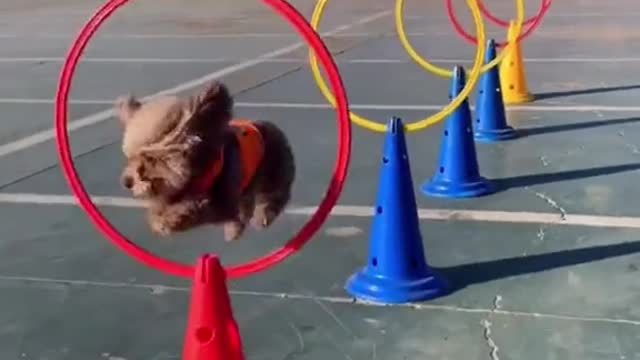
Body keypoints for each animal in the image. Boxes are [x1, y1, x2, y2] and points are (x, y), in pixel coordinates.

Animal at [115, 81, 296, 242]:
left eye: (150, 158)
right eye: (130, 157)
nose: (127, 182)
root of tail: (274, 127)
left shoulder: (220, 201)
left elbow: (195, 208)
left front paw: (167, 220)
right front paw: (157, 218)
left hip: (275, 174)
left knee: (275, 197)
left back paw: (262, 217)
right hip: (248, 185)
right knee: (245, 208)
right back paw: (234, 230)